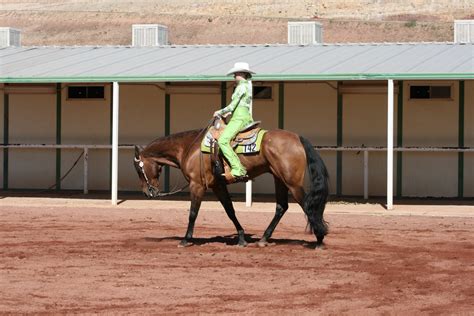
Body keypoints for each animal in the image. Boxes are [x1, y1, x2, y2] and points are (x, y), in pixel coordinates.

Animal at [131, 124, 328, 248]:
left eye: (139, 169)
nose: (148, 192)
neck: (188, 148)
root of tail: (298, 138)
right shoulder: (218, 186)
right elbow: (230, 211)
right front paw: (241, 238)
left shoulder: (197, 186)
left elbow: (193, 213)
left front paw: (186, 240)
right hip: (279, 179)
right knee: (281, 207)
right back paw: (263, 239)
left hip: (292, 183)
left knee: (307, 206)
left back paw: (319, 239)